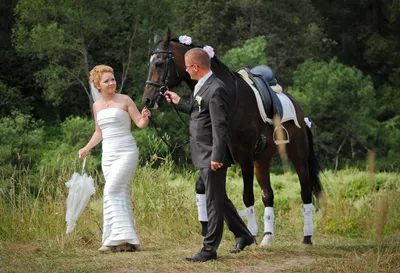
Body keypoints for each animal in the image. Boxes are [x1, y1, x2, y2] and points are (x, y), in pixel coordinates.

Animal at [141, 29, 322, 244]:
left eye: (159, 63)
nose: (147, 99)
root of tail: (299, 110)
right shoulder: (218, 156)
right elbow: (202, 188)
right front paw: (207, 228)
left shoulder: (243, 155)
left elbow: (247, 196)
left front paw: (249, 234)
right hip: (262, 160)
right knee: (268, 194)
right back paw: (267, 237)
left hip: (297, 156)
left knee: (305, 192)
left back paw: (307, 237)